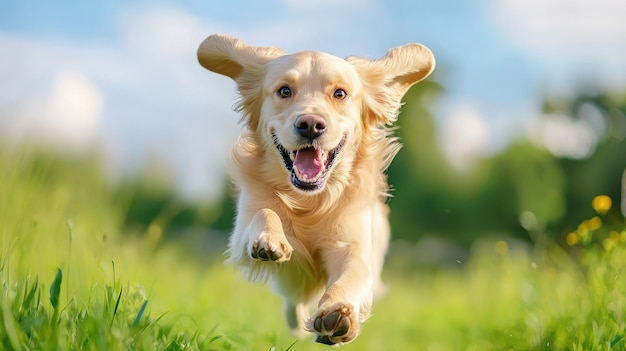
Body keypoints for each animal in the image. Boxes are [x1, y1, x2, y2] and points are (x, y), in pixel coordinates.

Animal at [197, 34, 432, 346]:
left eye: (340, 94)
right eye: (284, 90)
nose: (310, 124)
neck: (309, 201)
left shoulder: (352, 246)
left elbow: (351, 275)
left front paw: (338, 313)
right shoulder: (241, 233)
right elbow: (264, 212)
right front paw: (269, 238)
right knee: (292, 303)